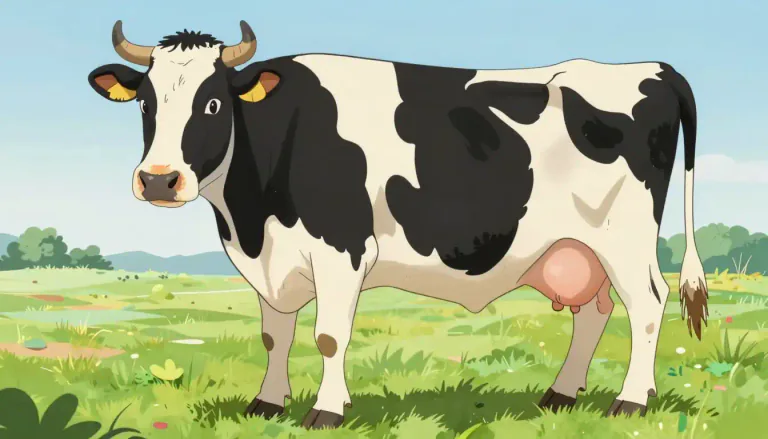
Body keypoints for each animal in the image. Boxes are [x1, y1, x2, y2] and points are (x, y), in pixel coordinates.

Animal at [88, 20, 709, 429]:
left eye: (214, 104)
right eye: (144, 103)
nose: (160, 180)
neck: (251, 218)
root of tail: (653, 69)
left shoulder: (341, 250)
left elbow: (328, 335)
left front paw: (326, 410)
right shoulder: (271, 261)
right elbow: (274, 334)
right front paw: (266, 404)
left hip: (625, 236)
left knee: (647, 304)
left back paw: (631, 401)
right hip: (578, 245)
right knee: (595, 310)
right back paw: (561, 394)